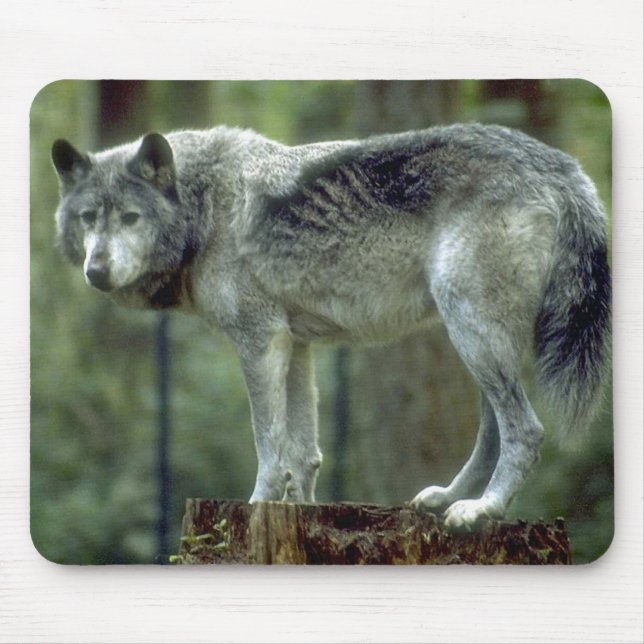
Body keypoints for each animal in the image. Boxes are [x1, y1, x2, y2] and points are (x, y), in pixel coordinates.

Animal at [51, 123, 611, 531]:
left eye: (130, 218)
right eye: (88, 218)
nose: (96, 271)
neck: (205, 209)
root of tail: (564, 168)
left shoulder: (260, 342)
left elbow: (269, 447)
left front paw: (256, 506)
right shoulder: (295, 346)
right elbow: (304, 454)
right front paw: (300, 511)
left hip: (472, 333)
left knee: (526, 431)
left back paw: (483, 510)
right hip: (474, 341)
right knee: (494, 431)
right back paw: (448, 499)